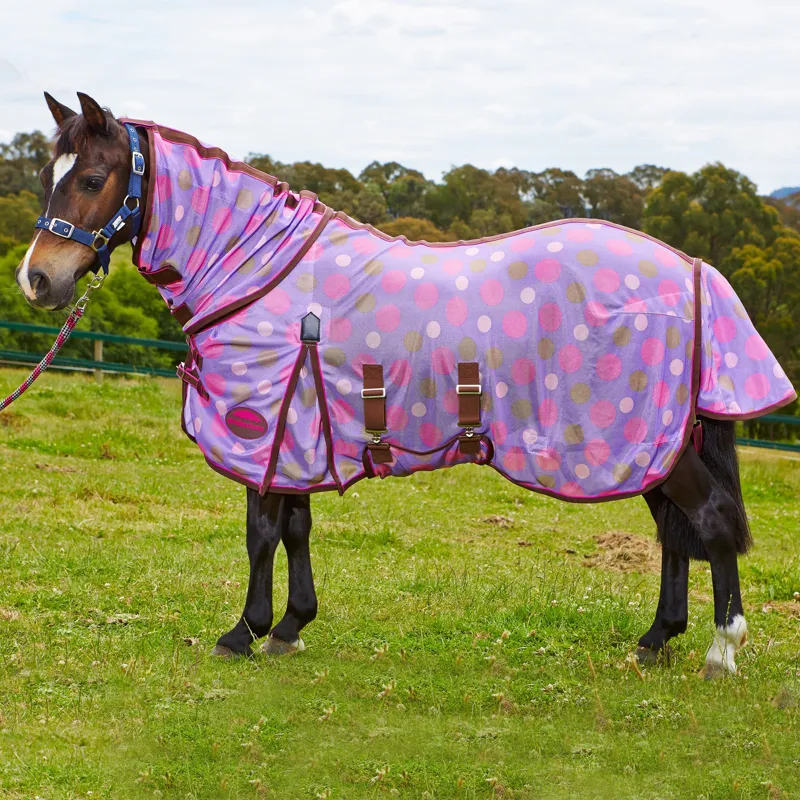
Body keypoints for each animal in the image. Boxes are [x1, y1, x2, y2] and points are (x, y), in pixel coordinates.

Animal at [14, 92, 796, 676]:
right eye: (47, 177)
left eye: (92, 179)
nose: (37, 278)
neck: (256, 269)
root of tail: (690, 267)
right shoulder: (299, 436)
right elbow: (295, 529)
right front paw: (291, 626)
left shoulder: (265, 433)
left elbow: (262, 533)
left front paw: (244, 631)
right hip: (652, 446)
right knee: (676, 534)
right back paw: (656, 640)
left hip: (648, 440)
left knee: (710, 522)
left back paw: (723, 650)